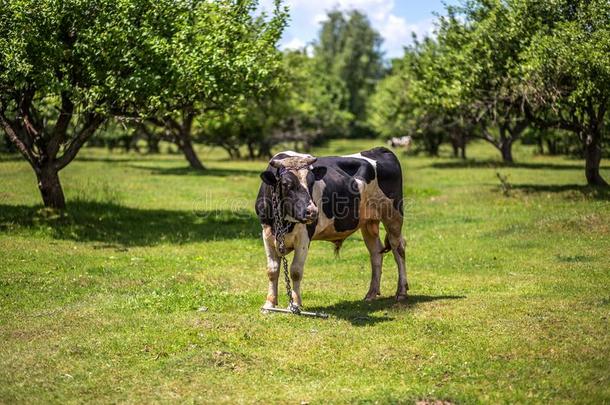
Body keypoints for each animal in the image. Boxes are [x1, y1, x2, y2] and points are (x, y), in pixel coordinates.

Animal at [254, 147, 406, 310]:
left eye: (312, 182)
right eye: (286, 184)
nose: (312, 211)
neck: (282, 221)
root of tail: (380, 149)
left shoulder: (304, 236)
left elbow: (295, 271)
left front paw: (295, 304)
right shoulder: (266, 233)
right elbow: (272, 270)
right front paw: (269, 303)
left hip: (393, 215)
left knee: (399, 248)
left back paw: (402, 292)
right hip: (368, 222)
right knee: (376, 253)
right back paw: (371, 294)